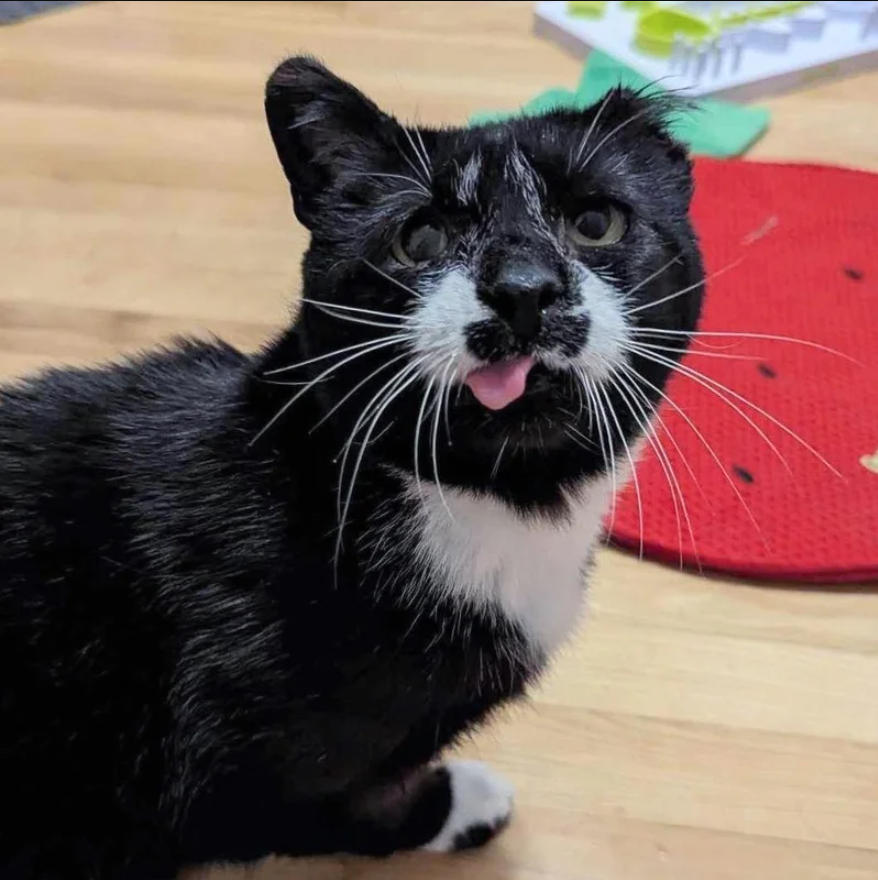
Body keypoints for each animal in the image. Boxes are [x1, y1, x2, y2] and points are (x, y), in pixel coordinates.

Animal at [0, 56, 704, 880]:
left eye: (597, 222)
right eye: (421, 237)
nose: (525, 287)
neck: (495, 502)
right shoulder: (237, 776)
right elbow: (350, 806)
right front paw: (462, 804)